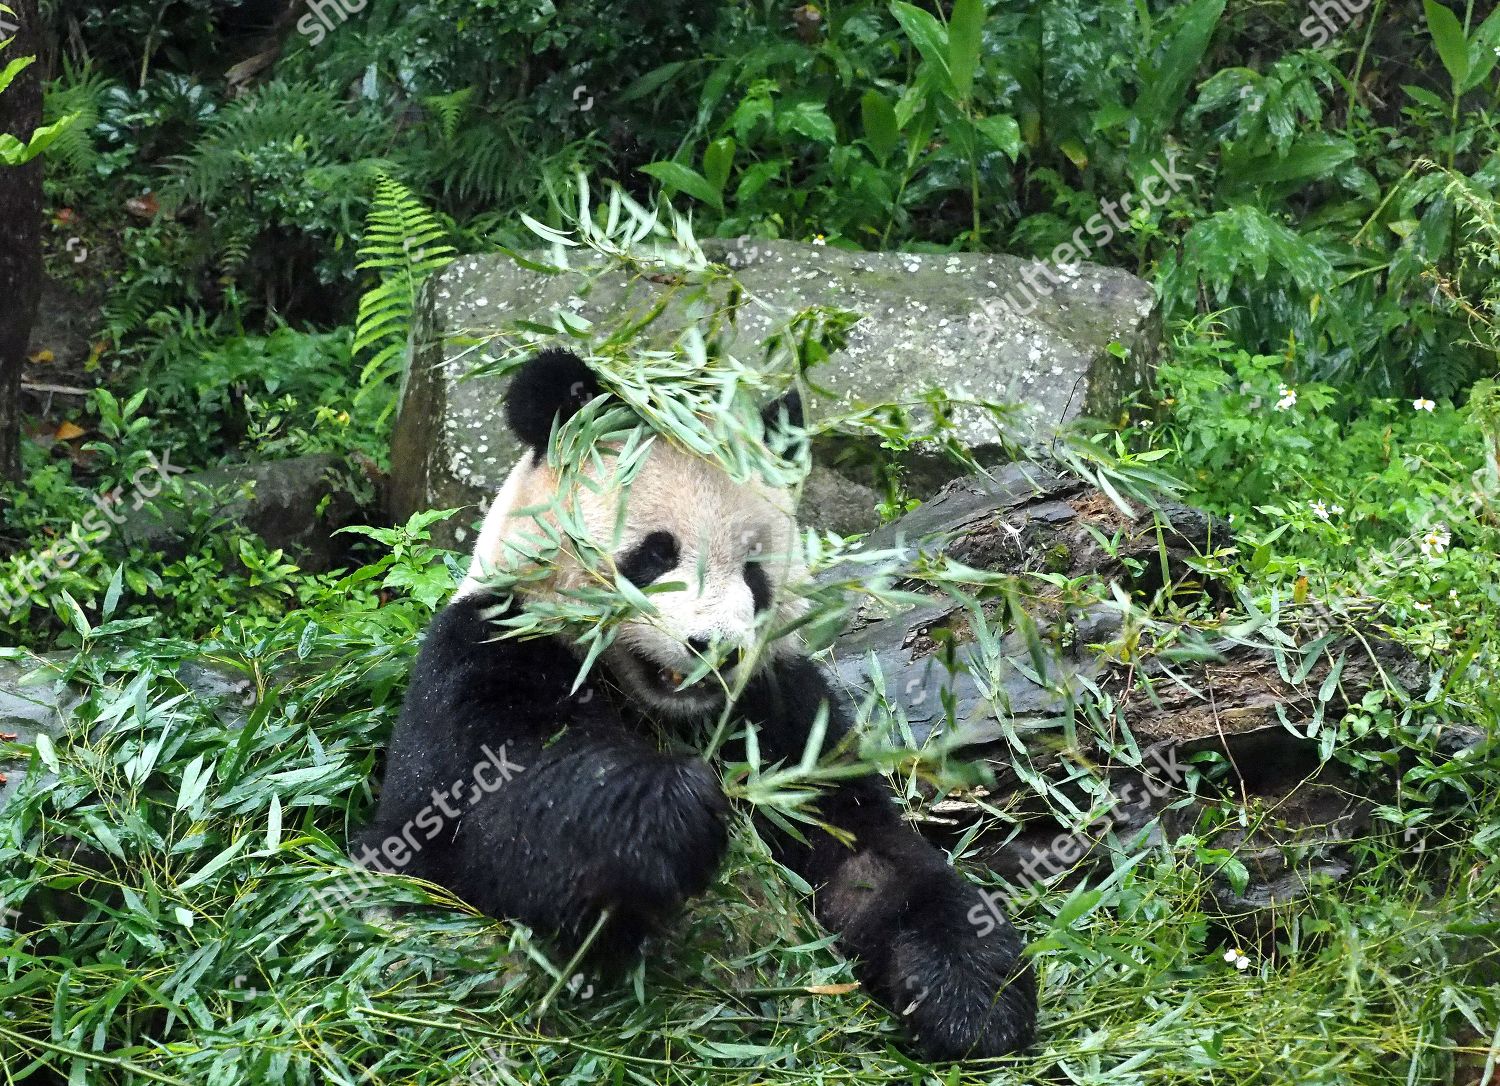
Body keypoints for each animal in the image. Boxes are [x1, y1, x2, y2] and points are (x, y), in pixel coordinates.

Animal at [357, 348, 1038, 1062]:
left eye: (755, 570)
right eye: (655, 554)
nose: (718, 650)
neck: (667, 709)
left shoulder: (779, 708)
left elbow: (865, 851)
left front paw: (974, 990)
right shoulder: (490, 648)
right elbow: (481, 813)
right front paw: (673, 810)